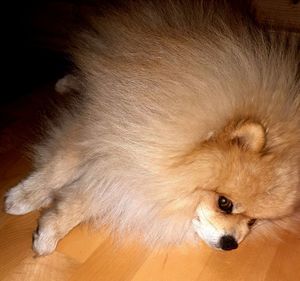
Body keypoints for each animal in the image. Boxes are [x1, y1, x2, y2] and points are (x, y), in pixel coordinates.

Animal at [4, 0, 300, 254]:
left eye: (253, 222)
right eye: (224, 203)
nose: (231, 244)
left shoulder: (133, 167)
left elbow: (89, 196)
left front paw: (50, 228)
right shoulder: (106, 122)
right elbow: (61, 165)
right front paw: (26, 196)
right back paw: (69, 82)